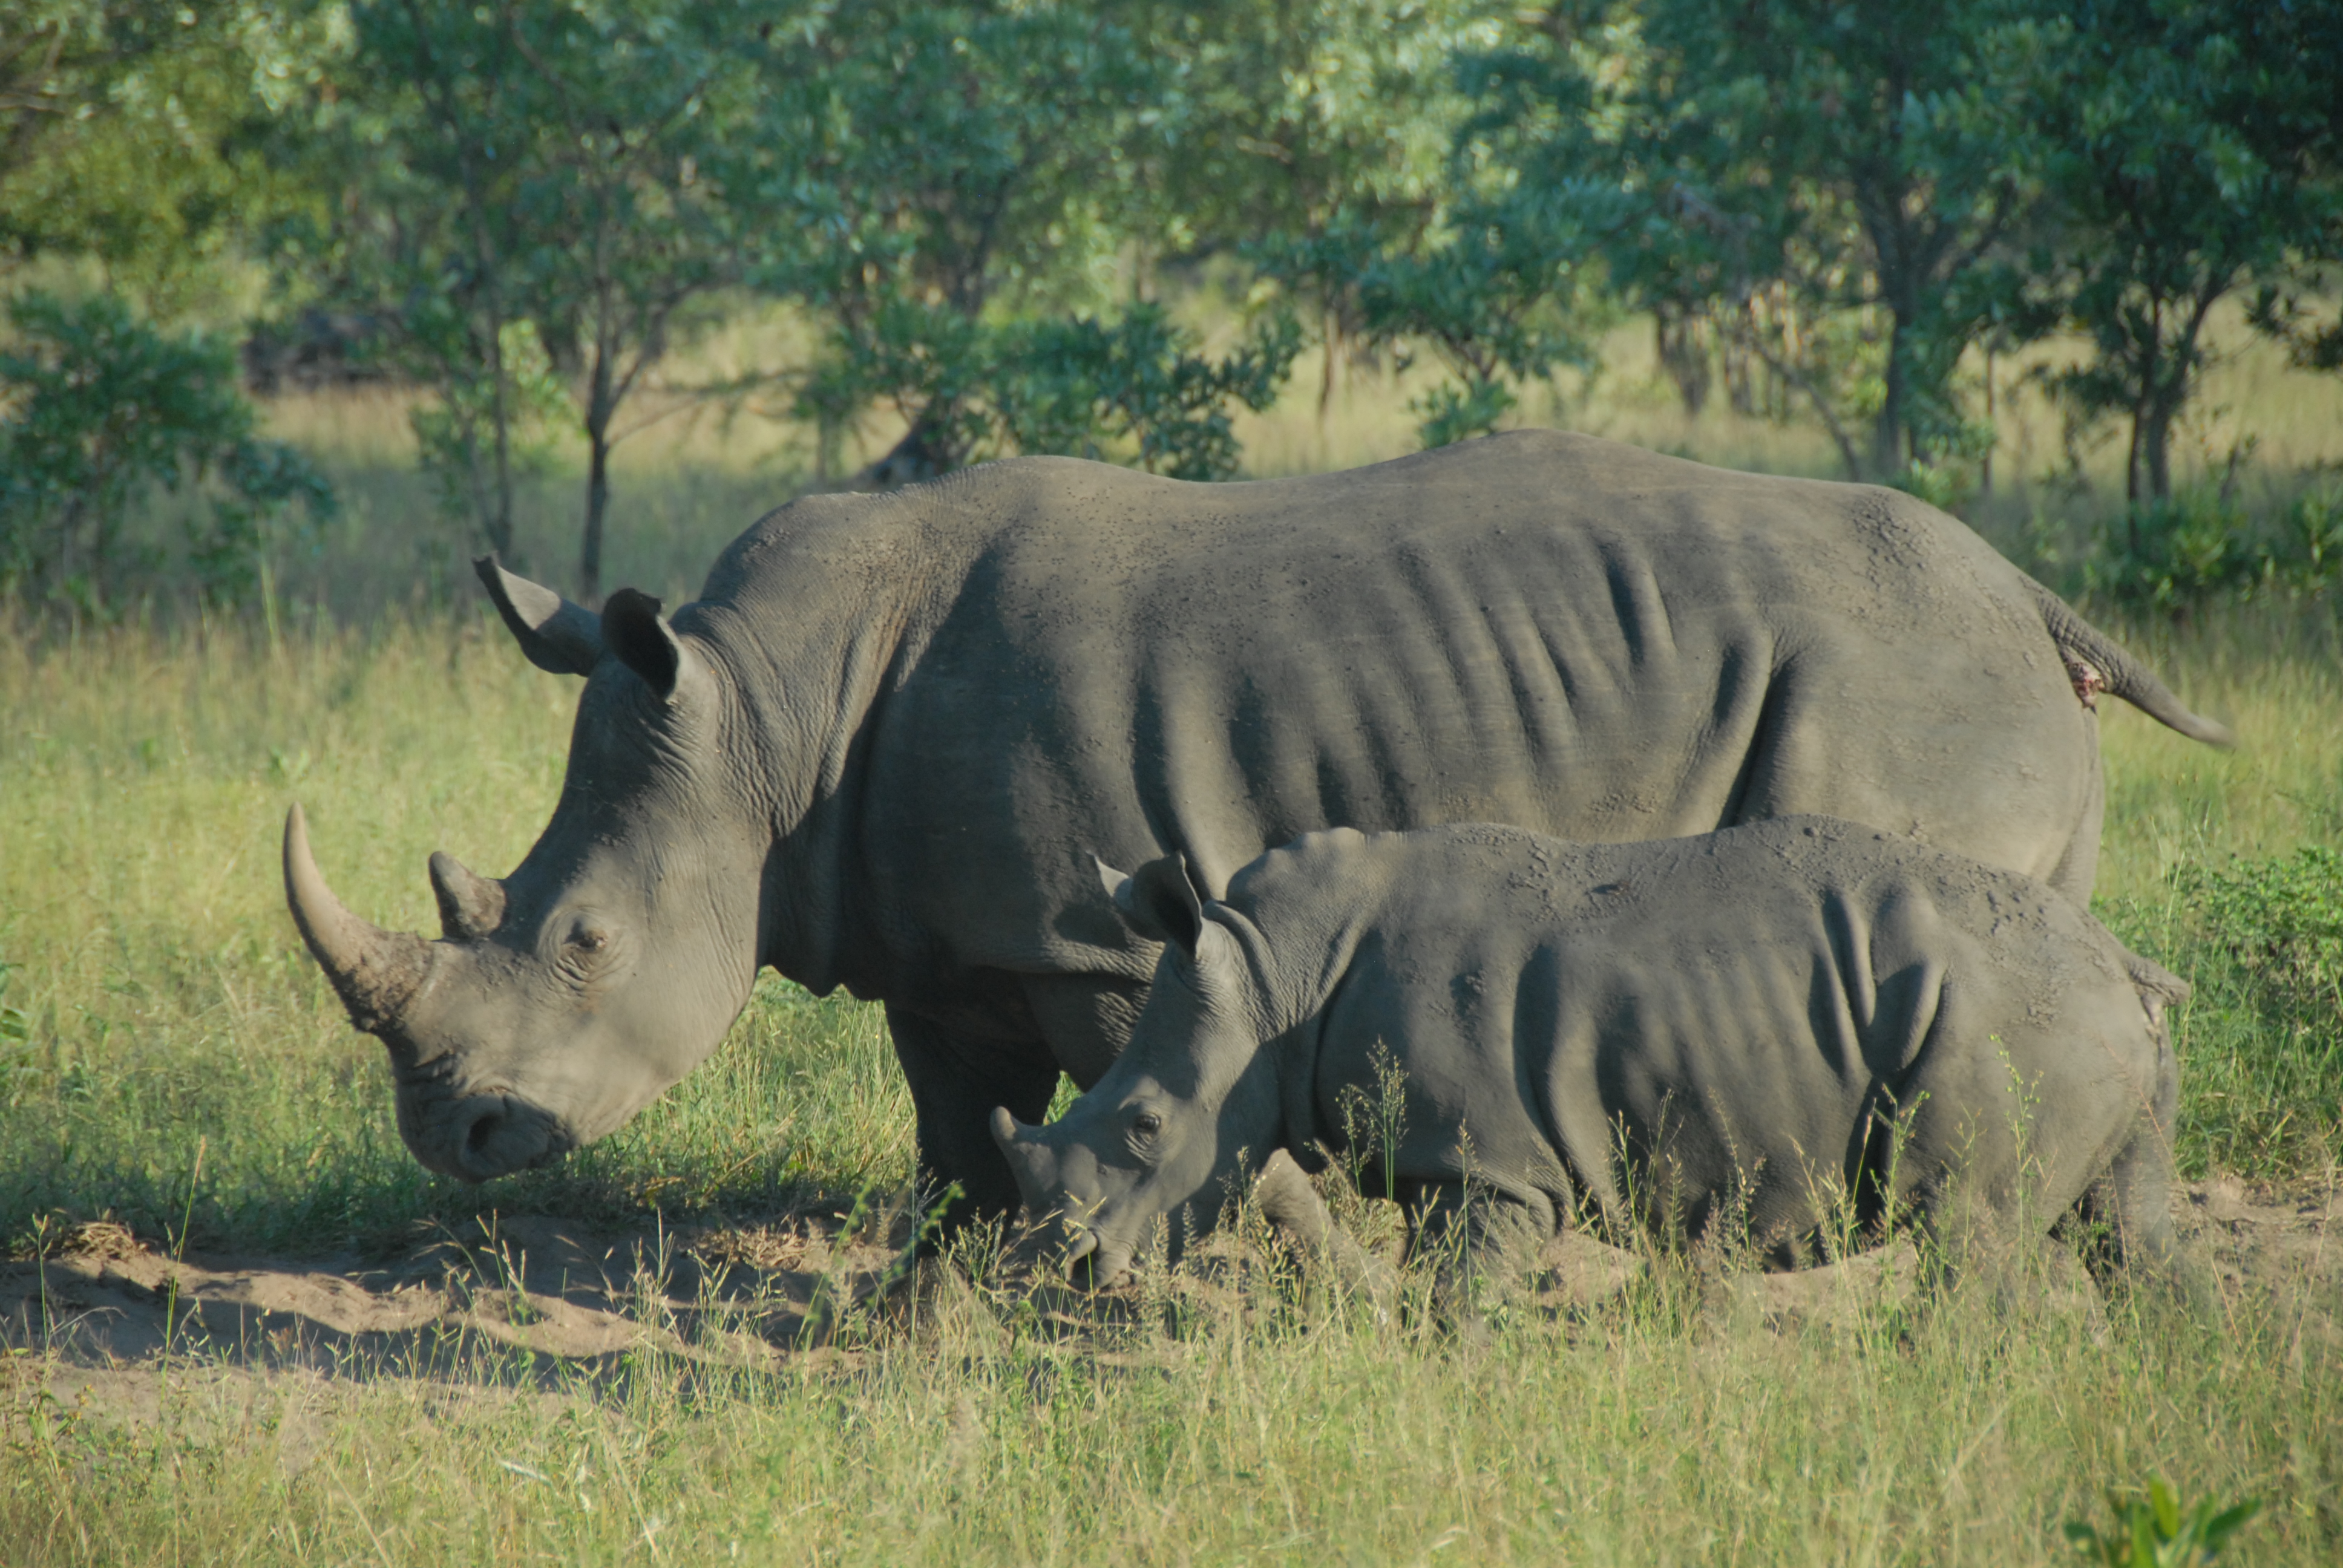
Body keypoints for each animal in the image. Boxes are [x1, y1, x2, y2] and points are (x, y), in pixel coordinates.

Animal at [281, 431, 2228, 1229]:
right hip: (1964, 676)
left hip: (1907, 675)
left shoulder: (1086, 931)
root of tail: (2037, 599)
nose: (451, 1139)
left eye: (583, 945)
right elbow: (952, 1127)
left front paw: (1295, 1259)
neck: (769, 718)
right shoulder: (942, 936)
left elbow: (1173, 1098)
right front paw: (940, 1296)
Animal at [992, 818, 2196, 1297]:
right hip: (2089, 1029)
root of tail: (2129, 968)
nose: (1063, 1268)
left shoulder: (1490, 1167)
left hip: (2011, 1021)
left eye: (1146, 1125)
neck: (1271, 972)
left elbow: (1454, 1304)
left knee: (1970, 1233)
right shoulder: (1460, 1162)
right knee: (2132, 1232)